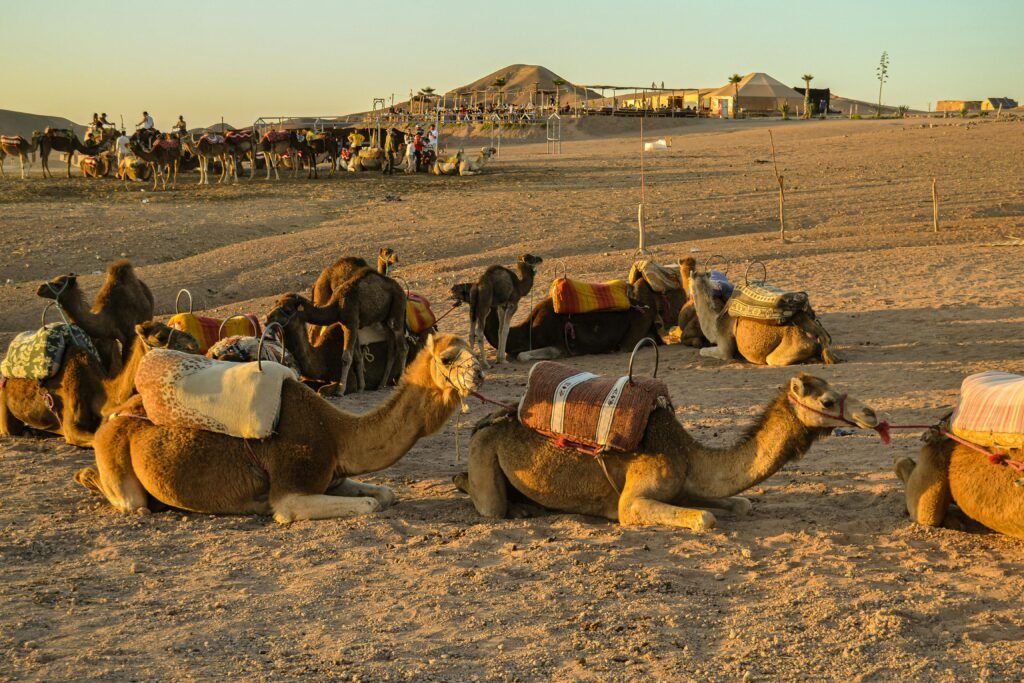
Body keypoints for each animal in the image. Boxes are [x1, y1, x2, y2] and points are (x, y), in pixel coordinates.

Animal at [75, 333, 484, 522]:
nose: (479, 373)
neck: (337, 434)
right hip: (118, 461)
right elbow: (369, 504)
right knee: (131, 502)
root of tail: (113, 418)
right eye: (449, 357)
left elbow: (384, 494)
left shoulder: (332, 476)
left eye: (472, 348)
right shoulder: (291, 487)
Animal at [458, 374, 877, 528]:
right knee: (486, 501)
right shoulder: (633, 500)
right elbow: (705, 518)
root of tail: (492, 417)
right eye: (827, 400)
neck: (689, 455)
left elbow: (740, 504)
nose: (870, 414)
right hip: (483, 450)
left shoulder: (685, 485)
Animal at [688, 268, 838, 366]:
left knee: (772, 360)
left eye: (689, 282)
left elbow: (703, 351)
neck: (715, 324)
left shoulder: (725, 348)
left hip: (786, 350)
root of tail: (819, 334)